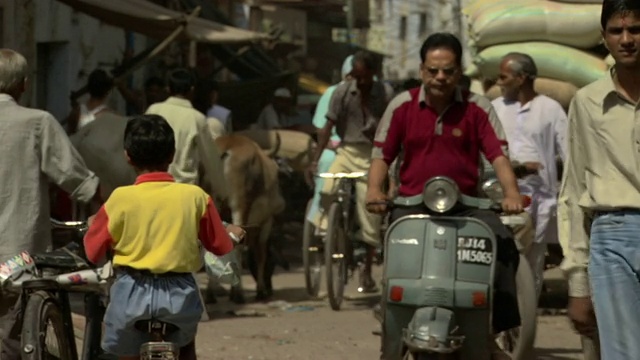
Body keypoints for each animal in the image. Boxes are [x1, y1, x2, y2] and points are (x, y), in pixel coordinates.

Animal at [211, 134, 286, 302]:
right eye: (272, 264)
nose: (270, 288)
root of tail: (227, 145)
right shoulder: (267, 220)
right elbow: (261, 253)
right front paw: (260, 291)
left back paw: (210, 294)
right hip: (240, 206)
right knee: (237, 245)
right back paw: (237, 294)